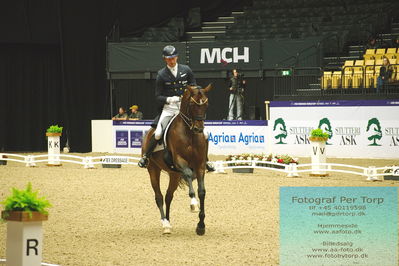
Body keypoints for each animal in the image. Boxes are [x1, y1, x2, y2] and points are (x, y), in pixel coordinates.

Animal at [143, 83, 214, 235]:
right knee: (159, 196)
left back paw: (169, 222)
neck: (190, 133)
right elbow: (188, 175)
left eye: (206, 104)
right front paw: (193, 204)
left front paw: (201, 226)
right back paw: (165, 224)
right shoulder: (180, 161)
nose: (199, 129)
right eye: (192, 105)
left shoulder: (200, 165)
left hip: (174, 175)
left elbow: (202, 192)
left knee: (168, 196)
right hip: (153, 169)